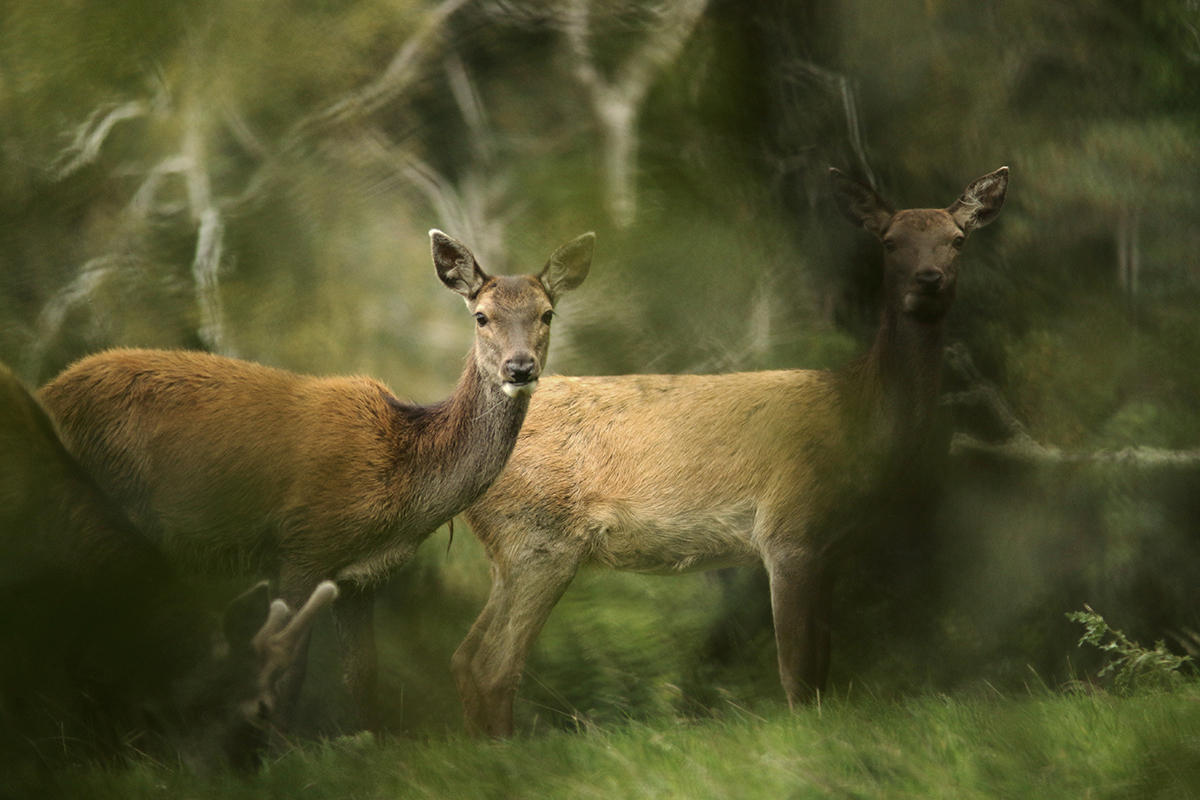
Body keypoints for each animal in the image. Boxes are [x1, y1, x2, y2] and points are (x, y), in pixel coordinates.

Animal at [38, 227, 595, 734]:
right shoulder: (303, 544)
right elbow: (291, 671)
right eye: (481, 316)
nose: (519, 368)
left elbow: (363, 676)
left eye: (547, 314)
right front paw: (278, 752)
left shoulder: (363, 576)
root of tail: (45, 393)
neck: (402, 479)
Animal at [453, 167, 1008, 738]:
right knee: (493, 665)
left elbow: (822, 665)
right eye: (891, 241)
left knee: (465, 657)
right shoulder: (787, 529)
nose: (928, 279)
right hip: (540, 541)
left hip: (513, 552)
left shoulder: (830, 546)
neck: (856, 417)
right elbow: (797, 672)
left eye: (957, 239)